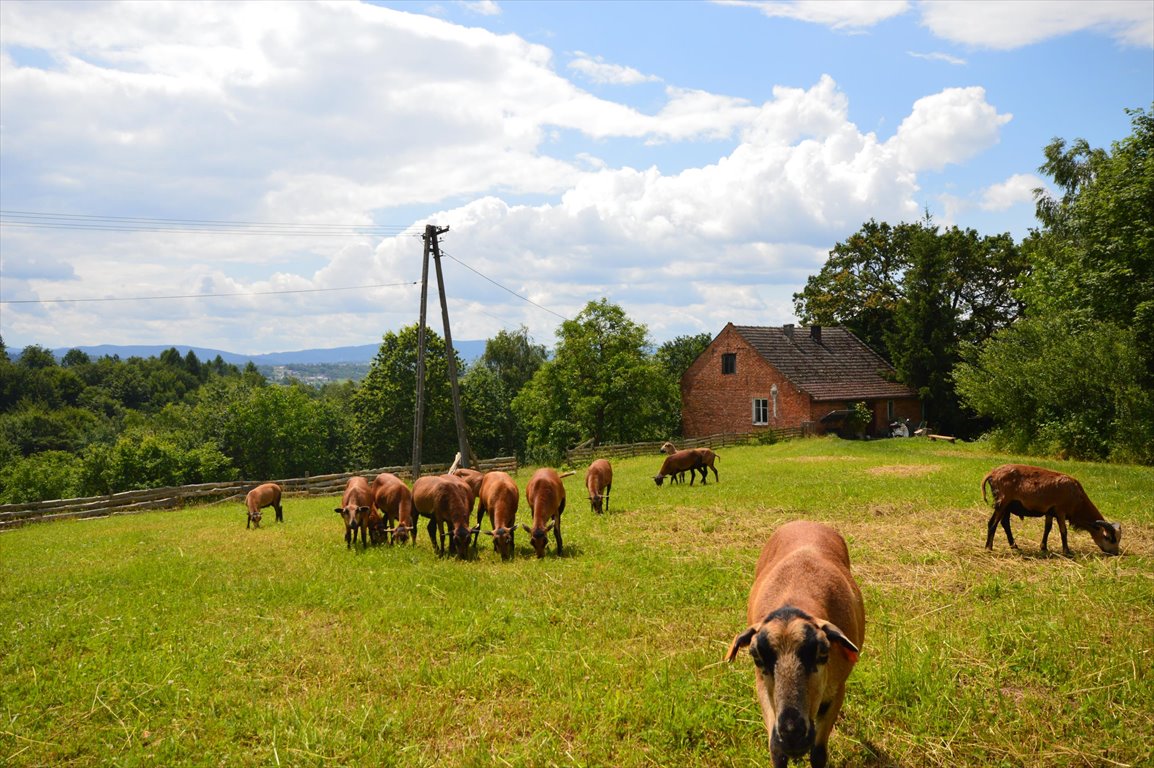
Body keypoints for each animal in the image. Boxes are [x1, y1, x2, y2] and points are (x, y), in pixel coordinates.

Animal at [724, 521, 863, 765]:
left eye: (823, 653)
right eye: (756, 657)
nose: (792, 735)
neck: (796, 595)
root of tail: (805, 522)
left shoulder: (837, 690)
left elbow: (818, 753)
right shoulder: (761, 687)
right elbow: (775, 751)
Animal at [978, 463, 1121, 553]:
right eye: (1109, 538)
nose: (1115, 553)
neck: (1078, 498)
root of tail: (992, 474)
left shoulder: (1050, 511)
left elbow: (1047, 528)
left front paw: (1044, 547)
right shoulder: (1060, 510)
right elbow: (1063, 531)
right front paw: (1067, 551)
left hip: (1007, 505)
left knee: (1004, 523)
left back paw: (1014, 546)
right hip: (1003, 502)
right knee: (993, 523)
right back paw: (989, 548)